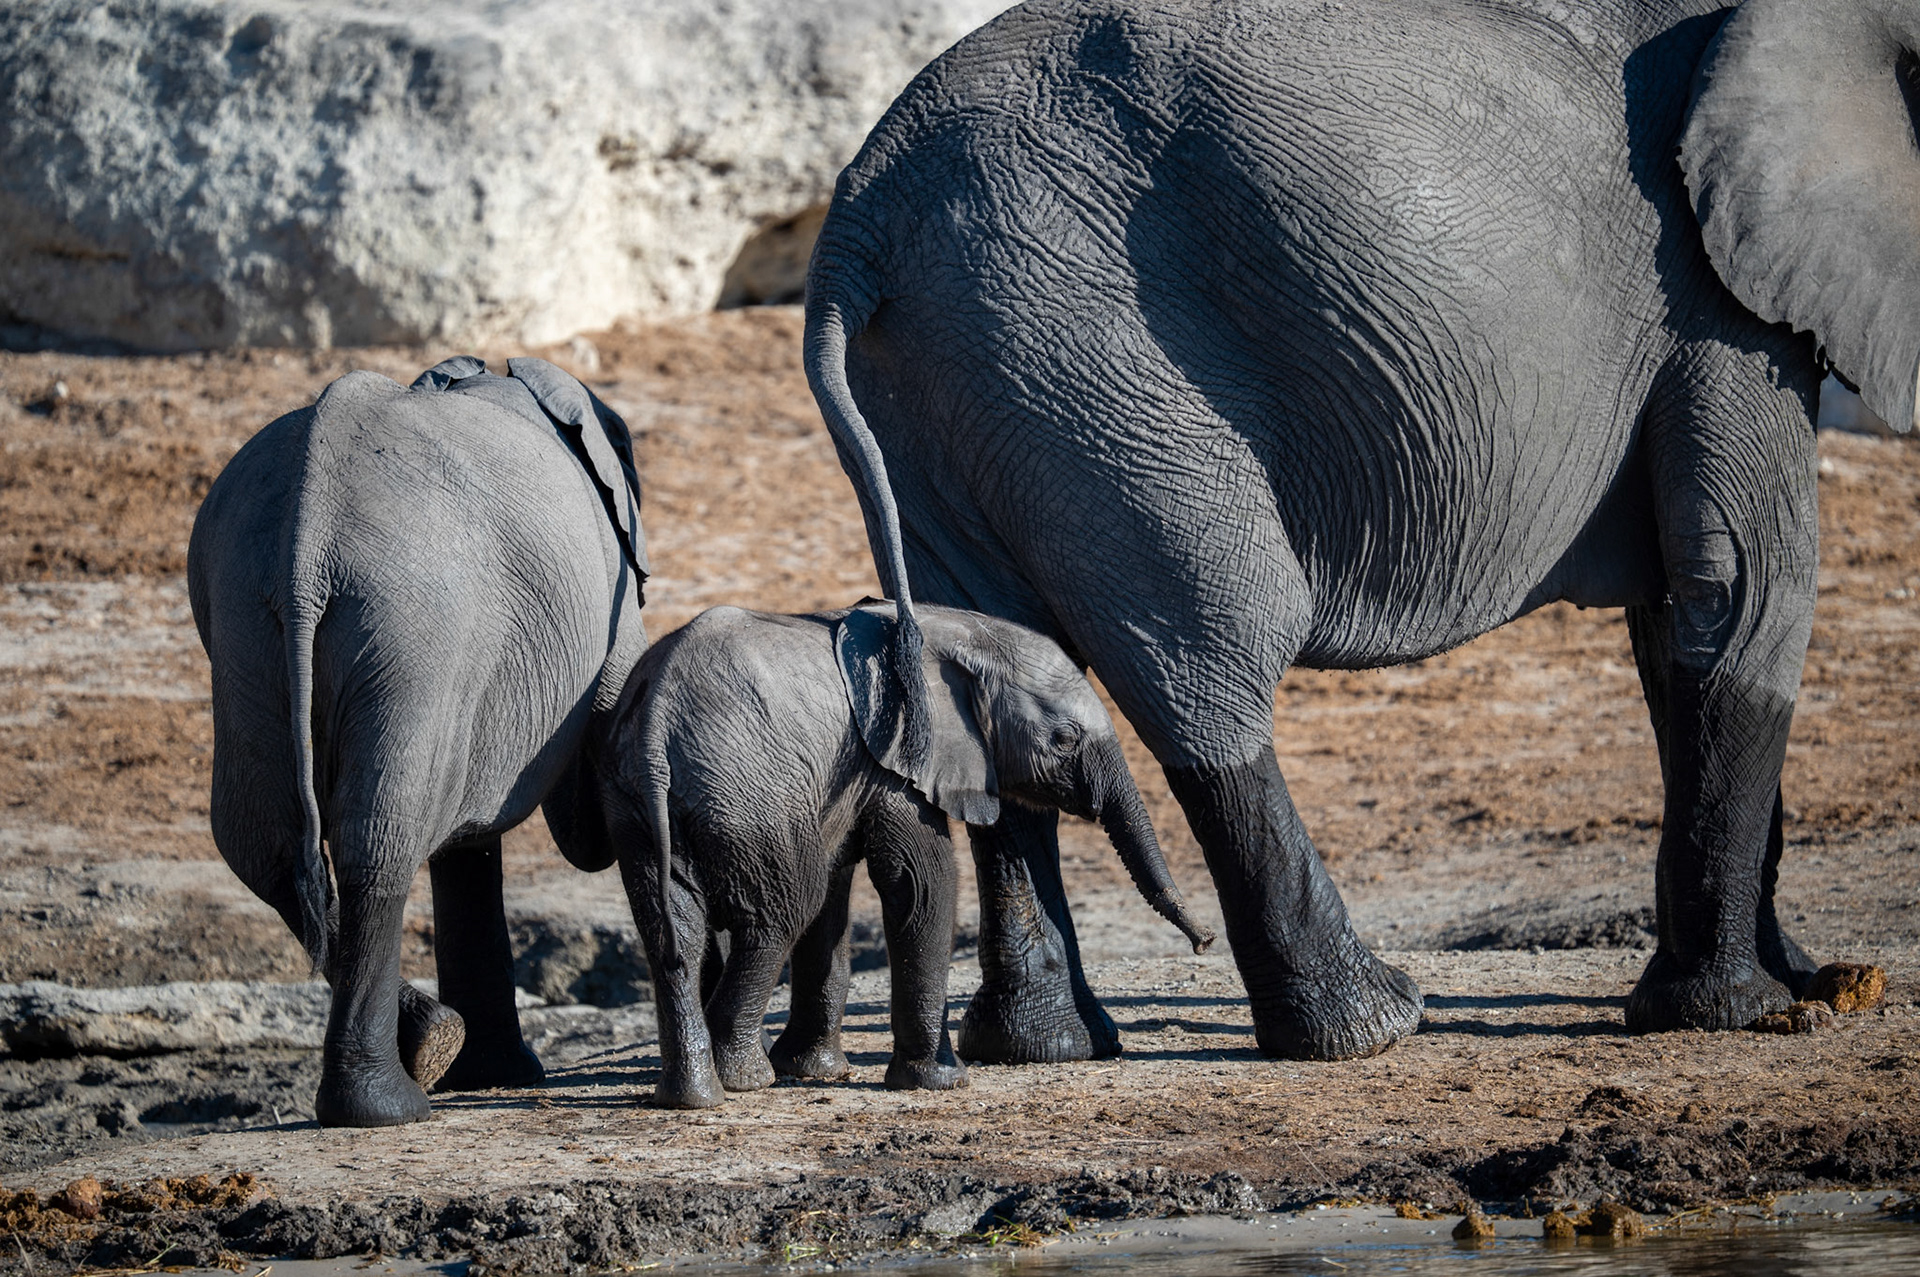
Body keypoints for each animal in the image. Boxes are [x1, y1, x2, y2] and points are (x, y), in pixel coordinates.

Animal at [188, 356, 648, 1126]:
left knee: (262, 843)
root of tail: (307, 543)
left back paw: (421, 1054)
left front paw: (491, 1076)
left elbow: (469, 839)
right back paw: (396, 1095)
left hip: (247, 617)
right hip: (414, 630)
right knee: (379, 839)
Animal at [595, 601, 1214, 1108]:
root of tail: (655, 724)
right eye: (1064, 740)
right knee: (778, 917)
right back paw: (746, 1080)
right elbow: (919, 882)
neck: (948, 627)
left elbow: (836, 899)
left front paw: (817, 1072)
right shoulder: (899, 755)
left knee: (674, 932)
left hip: (640, 807)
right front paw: (942, 1082)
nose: (1206, 942)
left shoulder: (847, 775)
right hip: (747, 798)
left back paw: (692, 1096)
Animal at [800, 0, 1912, 1063]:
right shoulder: (1717, 307)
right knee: (1209, 652)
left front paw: (1806, 983)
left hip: (962, 379)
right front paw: (1743, 1011)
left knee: (996, 649)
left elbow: (1676, 625)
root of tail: (858, 220)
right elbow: (1744, 596)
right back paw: (1366, 1024)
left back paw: (1046, 1047)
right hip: (1077, 355)